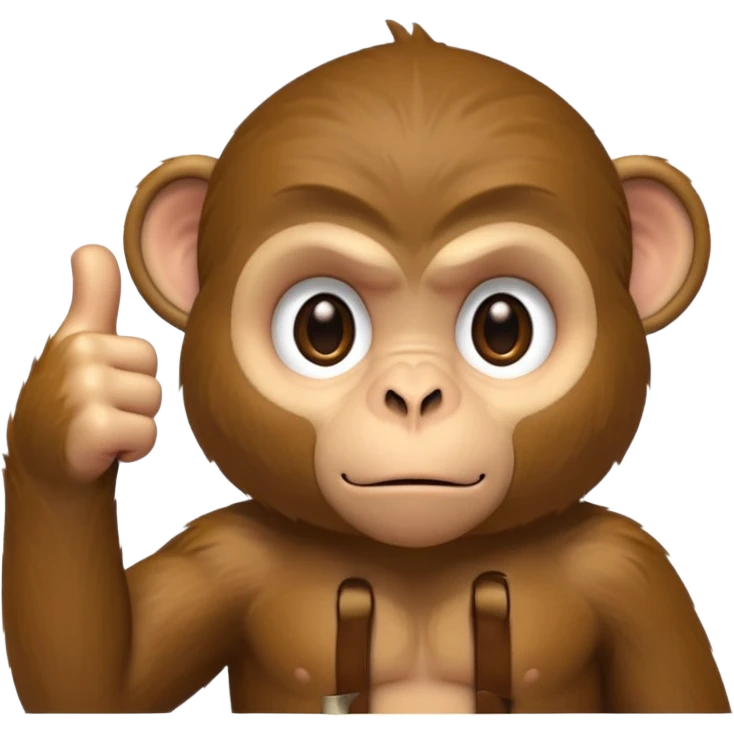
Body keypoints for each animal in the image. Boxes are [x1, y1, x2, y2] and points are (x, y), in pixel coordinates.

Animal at [1, 19, 730, 716]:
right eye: (323, 327)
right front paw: (78, 409)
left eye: (503, 327)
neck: (420, 567)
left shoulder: (627, 567)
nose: (412, 393)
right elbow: (96, 686)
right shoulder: (230, 551)